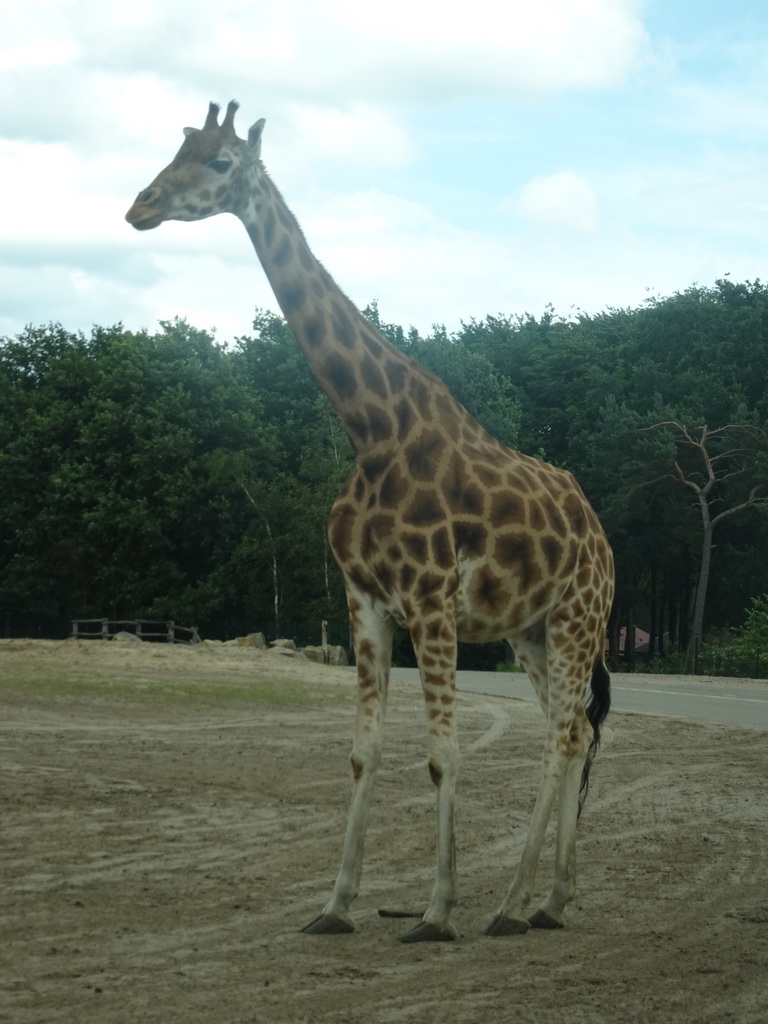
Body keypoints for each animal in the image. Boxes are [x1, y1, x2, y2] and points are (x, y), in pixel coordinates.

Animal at [128, 99, 618, 937]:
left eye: (222, 162)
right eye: (177, 148)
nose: (141, 206)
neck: (371, 430)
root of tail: (603, 538)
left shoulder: (430, 602)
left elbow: (443, 755)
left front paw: (437, 911)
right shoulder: (363, 600)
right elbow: (363, 751)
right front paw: (334, 905)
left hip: (578, 617)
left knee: (561, 735)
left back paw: (509, 906)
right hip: (530, 629)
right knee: (576, 727)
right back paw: (551, 900)